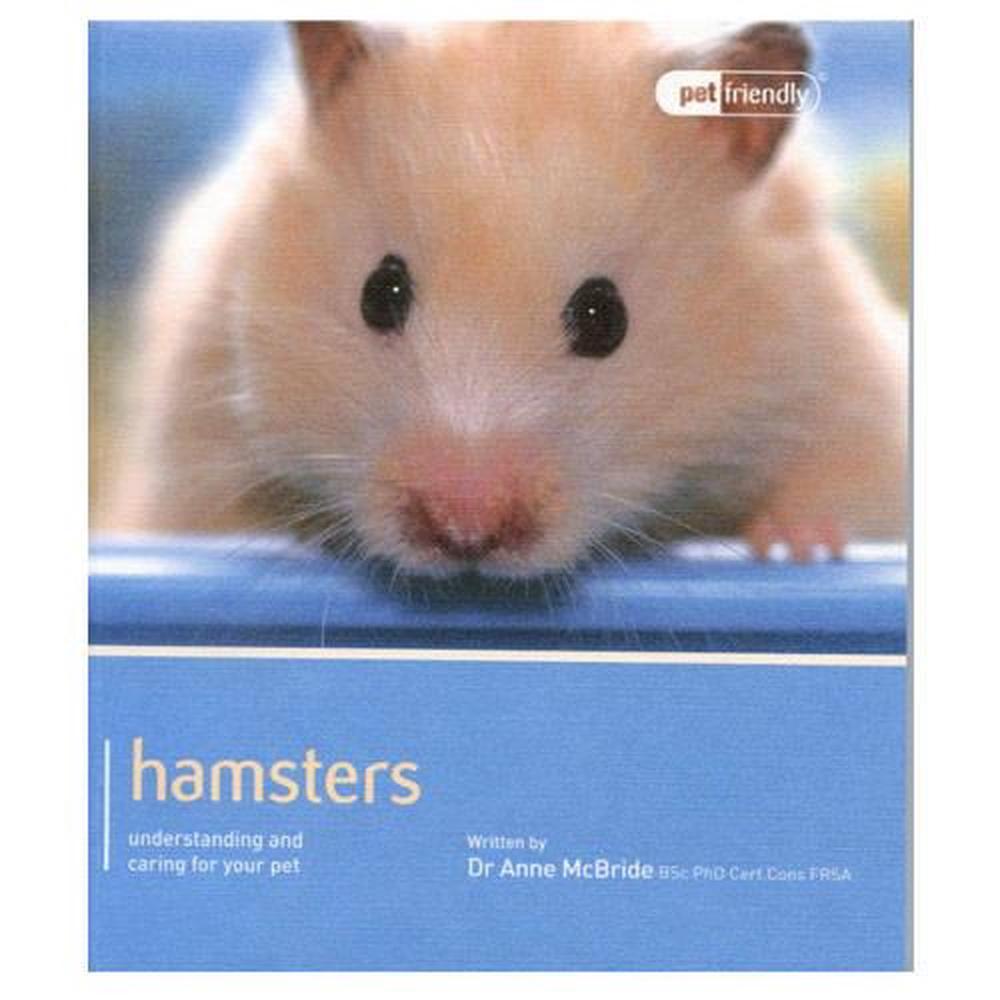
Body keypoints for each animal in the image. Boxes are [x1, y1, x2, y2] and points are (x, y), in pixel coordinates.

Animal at [111, 21, 907, 578]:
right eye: (379, 293)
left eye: (605, 317)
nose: (465, 531)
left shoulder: (842, 388)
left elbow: (838, 490)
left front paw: (801, 548)